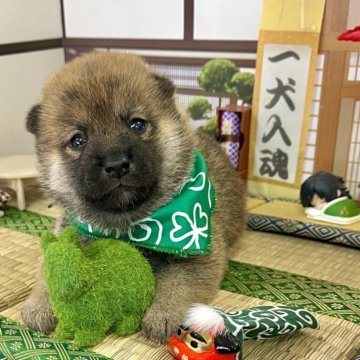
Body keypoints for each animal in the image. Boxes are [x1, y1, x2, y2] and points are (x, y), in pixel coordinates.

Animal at [21, 52, 246, 344]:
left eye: (137, 124)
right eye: (78, 140)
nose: (116, 164)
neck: (132, 225)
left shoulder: (201, 255)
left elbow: (179, 284)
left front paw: (163, 314)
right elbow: (47, 270)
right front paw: (38, 306)